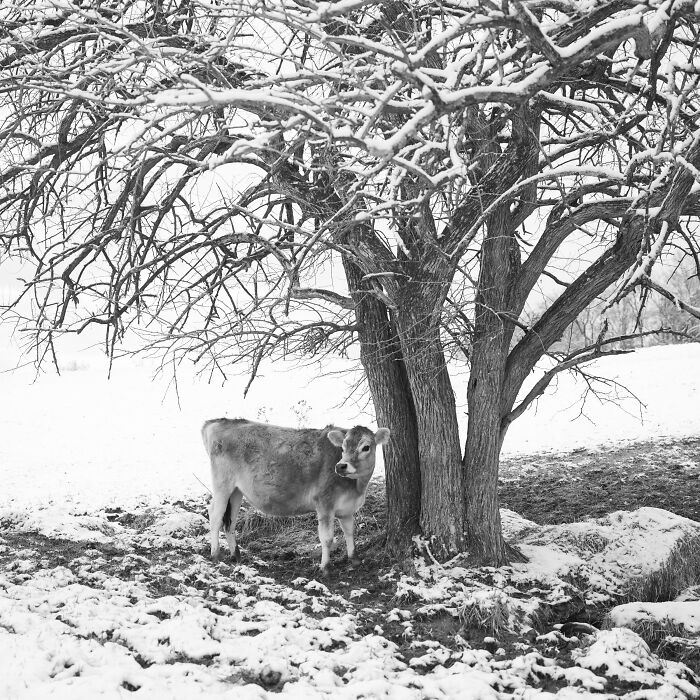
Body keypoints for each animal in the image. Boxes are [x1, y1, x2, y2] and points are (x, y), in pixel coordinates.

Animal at [201, 418, 390, 575]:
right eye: (342, 447)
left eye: (366, 447)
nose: (341, 466)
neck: (356, 488)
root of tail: (218, 422)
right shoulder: (324, 504)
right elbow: (327, 538)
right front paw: (325, 567)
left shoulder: (347, 508)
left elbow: (350, 531)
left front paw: (354, 559)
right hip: (222, 485)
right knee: (215, 516)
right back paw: (216, 555)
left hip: (236, 490)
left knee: (230, 521)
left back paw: (236, 555)